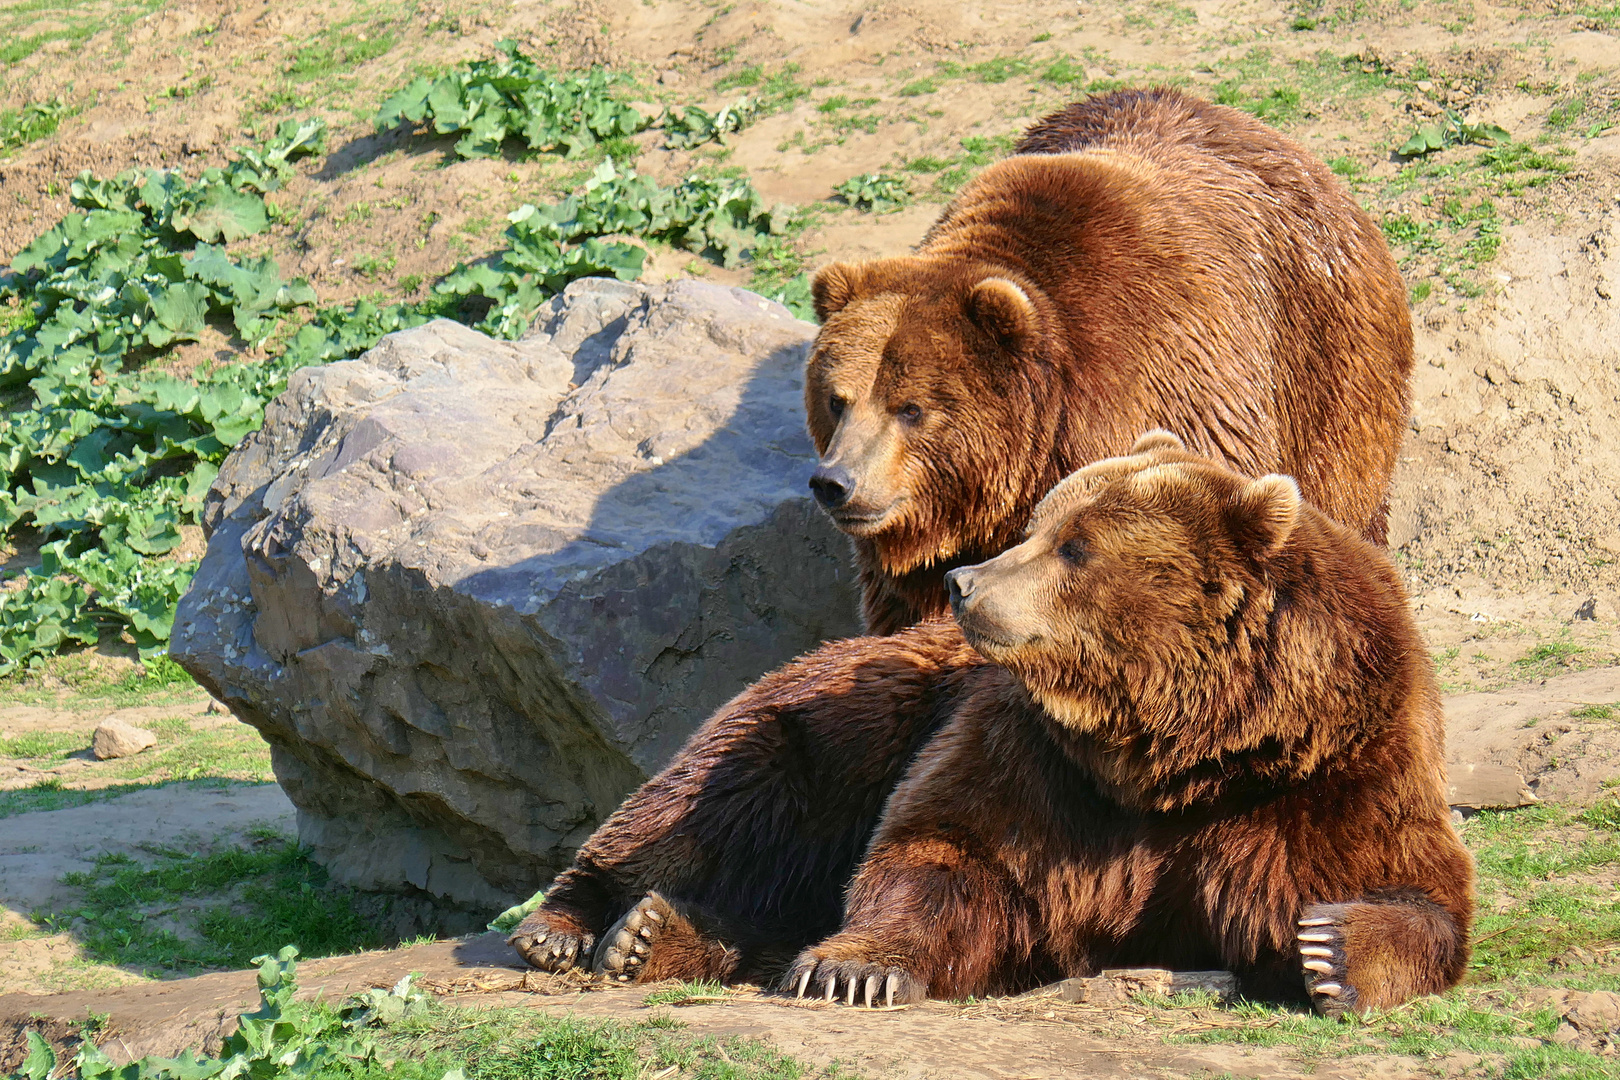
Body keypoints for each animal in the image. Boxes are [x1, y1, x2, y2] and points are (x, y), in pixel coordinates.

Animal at [511, 437, 1477, 1016]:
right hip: (836, 717)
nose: (964, 581)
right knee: (716, 798)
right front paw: (855, 969)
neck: (1173, 749)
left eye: (1076, 547)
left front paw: (1332, 948)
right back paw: (578, 927)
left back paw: (653, 934)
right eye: (1039, 522)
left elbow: (1408, 885)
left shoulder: (1324, 773)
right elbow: (946, 852)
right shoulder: (1030, 758)